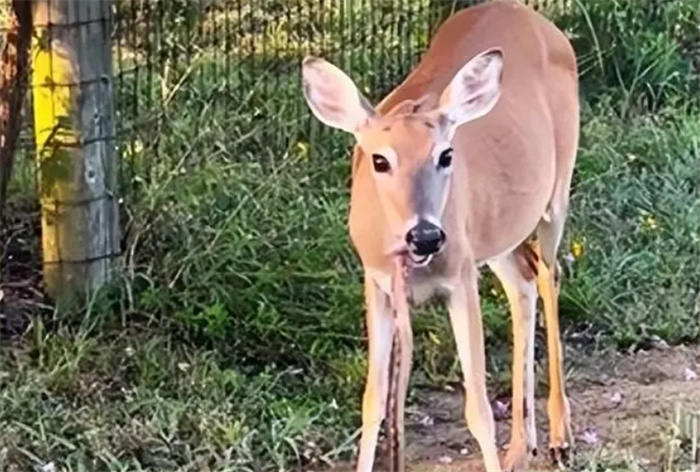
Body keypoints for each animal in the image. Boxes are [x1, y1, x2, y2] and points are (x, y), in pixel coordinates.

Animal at [300, 0, 580, 472]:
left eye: (446, 155)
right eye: (379, 160)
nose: (427, 236)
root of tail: (536, 19)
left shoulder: (460, 276)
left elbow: (479, 408)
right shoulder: (376, 281)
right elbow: (373, 402)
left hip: (555, 192)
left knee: (549, 273)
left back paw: (561, 436)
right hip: (498, 231)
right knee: (522, 282)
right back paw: (522, 446)